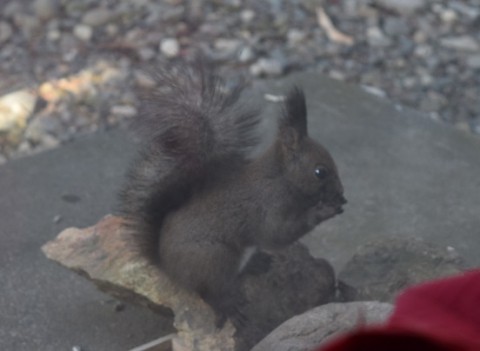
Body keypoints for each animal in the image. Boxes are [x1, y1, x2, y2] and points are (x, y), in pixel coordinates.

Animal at [118, 62, 346, 328]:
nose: (342, 195)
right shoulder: (268, 208)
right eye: (320, 172)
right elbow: (278, 234)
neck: (279, 179)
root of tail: (167, 266)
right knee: (208, 292)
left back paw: (257, 264)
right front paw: (322, 211)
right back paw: (227, 307)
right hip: (214, 258)